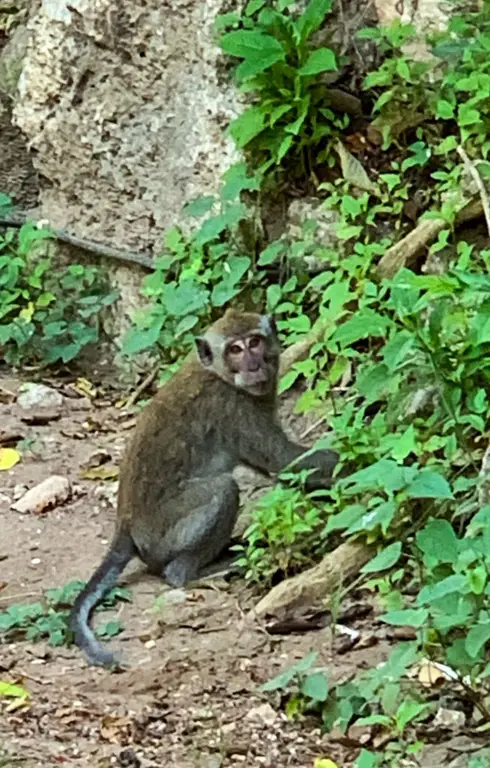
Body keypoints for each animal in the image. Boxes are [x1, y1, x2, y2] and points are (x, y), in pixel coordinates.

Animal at [71, 308, 338, 664]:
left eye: (255, 342)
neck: (219, 374)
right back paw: (193, 573)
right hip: (163, 535)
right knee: (224, 490)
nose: (254, 365)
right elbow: (282, 460)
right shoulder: (232, 407)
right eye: (235, 350)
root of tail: (124, 524)